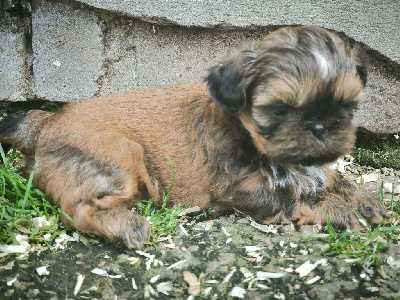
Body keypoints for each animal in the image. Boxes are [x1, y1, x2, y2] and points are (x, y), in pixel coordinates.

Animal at [0, 25, 388, 247]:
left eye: (347, 106)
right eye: (279, 110)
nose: (320, 127)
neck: (246, 133)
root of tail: (44, 123)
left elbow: (327, 176)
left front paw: (361, 197)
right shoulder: (244, 188)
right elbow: (294, 197)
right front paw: (338, 210)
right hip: (121, 153)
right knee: (77, 210)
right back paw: (127, 225)